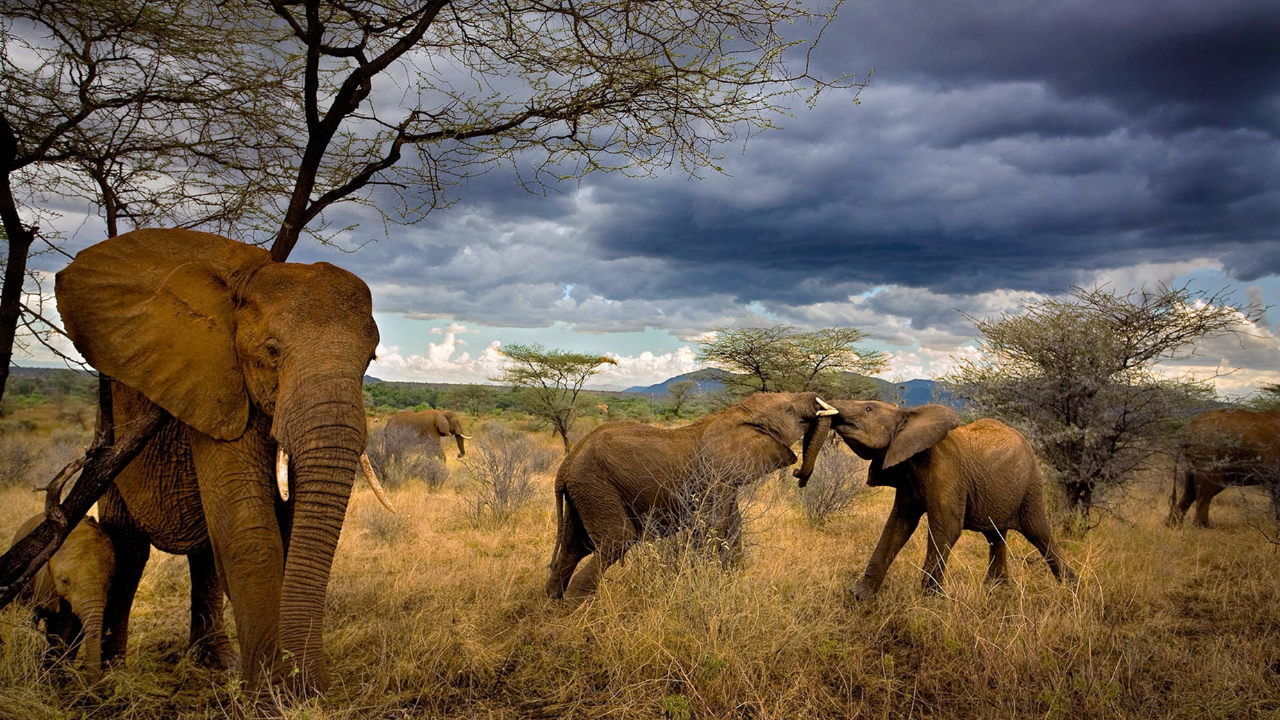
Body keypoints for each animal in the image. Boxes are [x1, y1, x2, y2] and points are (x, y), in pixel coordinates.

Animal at [55, 228, 393, 695]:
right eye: (272, 350)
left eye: (370, 360)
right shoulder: (217, 387)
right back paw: (115, 675)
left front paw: (282, 686)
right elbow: (251, 529)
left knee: (204, 555)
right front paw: (270, 694)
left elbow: (285, 528)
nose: (320, 686)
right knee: (129, 549)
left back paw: (216, 665)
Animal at [546, 392, 838, 602]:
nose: (799, 475)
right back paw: (576, 608)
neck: (733, 413)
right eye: (788, 409)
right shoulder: (714, 476)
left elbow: (733, 529)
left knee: (575, 546)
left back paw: (552, 603)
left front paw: (730, 586)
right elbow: (712, 527)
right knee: (617, 540)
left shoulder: (725, 480)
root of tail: (566, 464)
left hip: (584, 491)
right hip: (596, 485)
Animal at [829, 400, 1075, 600]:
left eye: (868, 408)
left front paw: (928, 602)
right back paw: (996, 590)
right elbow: (896, 527)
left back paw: (1071, 589)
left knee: (1039, 533)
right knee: (996, 536)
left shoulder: (947, 473)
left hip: (1031, 485)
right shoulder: (908, 478)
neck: (911, 417)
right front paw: (858, 596)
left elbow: (946, 529)